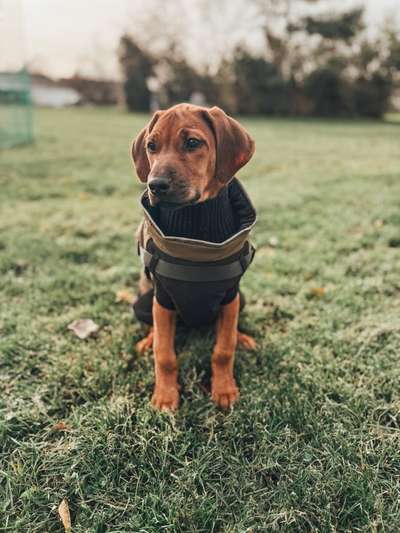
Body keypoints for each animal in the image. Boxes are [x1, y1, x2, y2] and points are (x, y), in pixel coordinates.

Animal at [131, 105, 256, 412]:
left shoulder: (230, 296)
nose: (155, 185)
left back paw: (243, 337)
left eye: (192, 143)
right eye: (151, 146)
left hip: (241, 298)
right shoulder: (163, 300)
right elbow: (164, 353)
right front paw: (165, 396)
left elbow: (223, 349)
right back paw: (146, 341)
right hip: (143, 302)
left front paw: (224, 389)